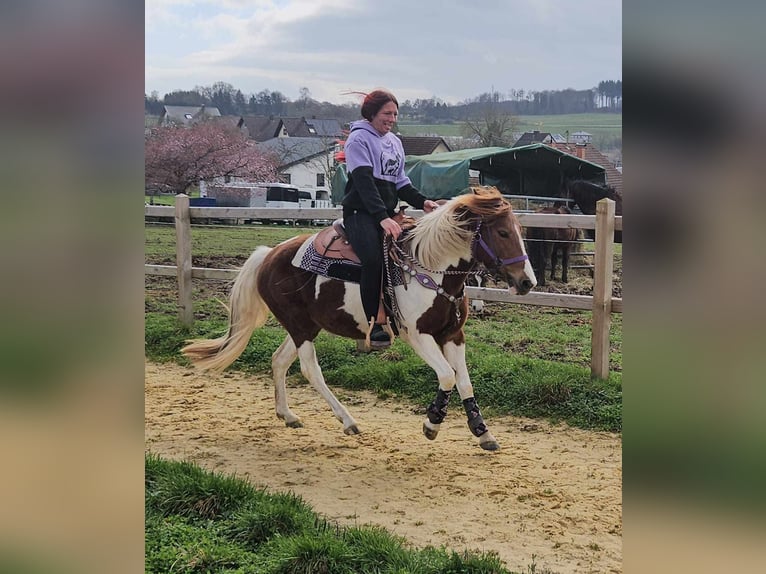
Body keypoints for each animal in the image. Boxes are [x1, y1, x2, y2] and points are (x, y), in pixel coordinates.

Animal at [182, 187, 537, 451]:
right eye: (502, 232)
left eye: (519, 231)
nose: (527, 282)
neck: (431, 268)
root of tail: (268, 255)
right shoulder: (417, 336)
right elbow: (448, 376)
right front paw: (432, 422)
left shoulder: (452, 335)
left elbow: (463, 380)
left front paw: (482, 431)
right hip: (300, 327)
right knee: (310, 370)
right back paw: (348, 421)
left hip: (305, 325)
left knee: (279, 360)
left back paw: (287, 414)